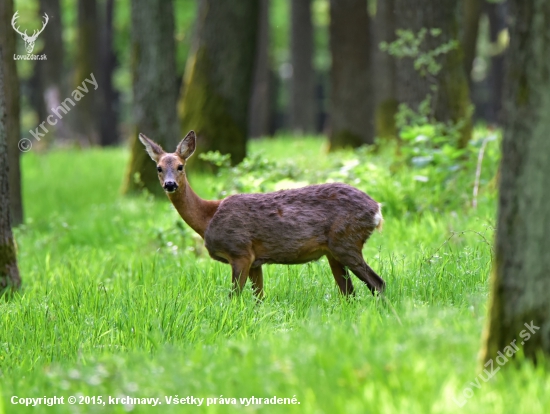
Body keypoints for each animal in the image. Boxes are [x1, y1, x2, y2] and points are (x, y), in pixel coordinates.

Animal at [140, 131, 386, 300]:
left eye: (180, 166)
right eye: (159, 168)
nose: (170, 185)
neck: (207, 218)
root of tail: (377, 209)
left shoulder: (240, 251)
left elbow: (234, 297)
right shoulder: (256, 261)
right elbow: (259, 298)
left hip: (346, 240)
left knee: (377, 283)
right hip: (333, 251)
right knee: (349, 292)